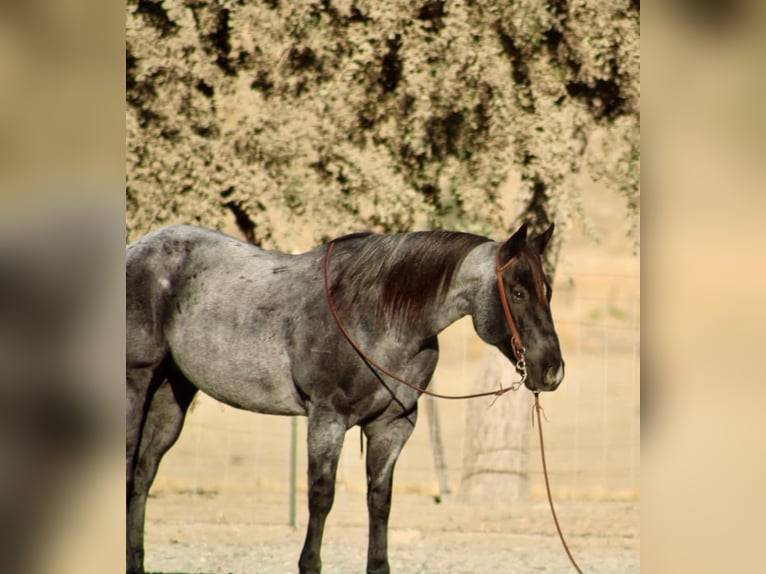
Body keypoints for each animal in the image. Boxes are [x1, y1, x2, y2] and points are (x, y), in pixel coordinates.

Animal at [126, 222, 565, 574]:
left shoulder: (392, 427)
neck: (379, 314)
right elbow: (321, 497)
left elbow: (380, 501)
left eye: (548, 290)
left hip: (171, 395)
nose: (552, 371)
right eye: (519, 292)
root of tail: (138, 248)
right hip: (138, 383)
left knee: (143, 476)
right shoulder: (327, 419)